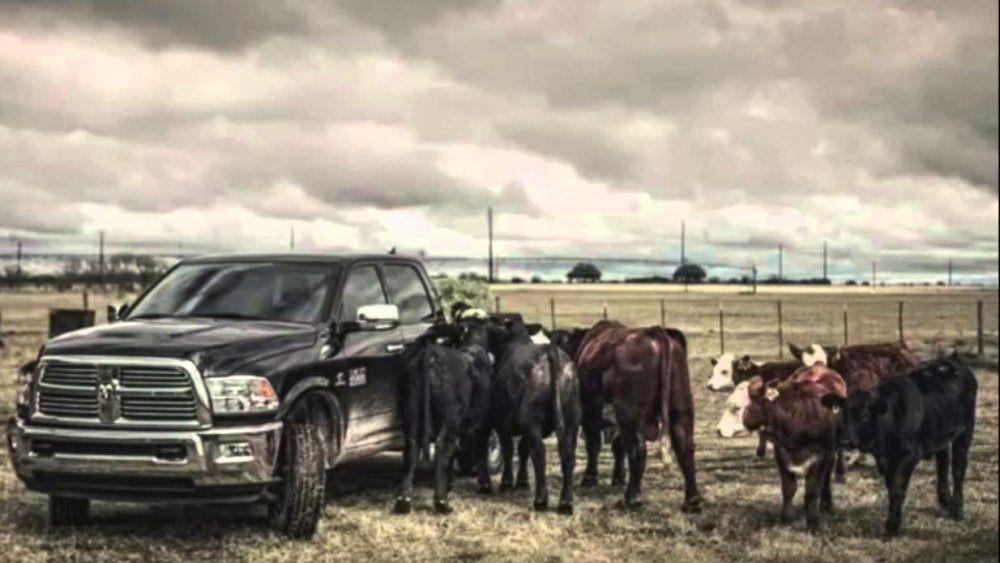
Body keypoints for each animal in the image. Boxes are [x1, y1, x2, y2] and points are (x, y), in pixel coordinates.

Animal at [396, 318, 494, 516]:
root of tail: (432, 353)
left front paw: (449, 483)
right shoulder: (483, 422)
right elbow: (481, 451)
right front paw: (485, 483)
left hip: (412, 407)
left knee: (412, 446)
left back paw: (404, 500)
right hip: (449, 416)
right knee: (442, 447)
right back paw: (442, 502)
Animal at [474, 318, 584, 516]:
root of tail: (551, 352)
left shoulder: (503, 422)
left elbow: (509, 449)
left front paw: (508, 482)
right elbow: (523, 449)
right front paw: (522, 481)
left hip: (533, 419)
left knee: (539, 453)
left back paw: (541, 500)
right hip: (572, 419)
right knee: (568, 455)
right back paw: (566, 502)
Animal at [572, 322, 704, 512]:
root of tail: (653, 333)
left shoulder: (590, 410)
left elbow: (594, 444)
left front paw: (590, 478)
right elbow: (617, 446)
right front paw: (618, 478)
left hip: (630, 415)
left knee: (637, 450)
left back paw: (632, 498)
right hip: (681, 408)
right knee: (685, 446)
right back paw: (692, 501)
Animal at [744, 366, 844, 532]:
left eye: (760, 400)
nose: (745, 417)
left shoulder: (823, 456)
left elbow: (812, 490)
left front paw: (814, 522)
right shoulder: (781, 454)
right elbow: (788, 488)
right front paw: (786, 518)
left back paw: (827, 503)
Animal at [824, 356, 980, 536]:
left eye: (866, 415)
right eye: (843, 414)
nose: (844, 441)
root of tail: (952, 363)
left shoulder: (908, 455)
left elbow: (897, 487)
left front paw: (892, 525)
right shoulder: (886, 460)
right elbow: (891, 487)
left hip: (966, 431)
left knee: (958, 469)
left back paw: (958, 509)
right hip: (940, 434)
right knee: (943, 462)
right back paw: (946, 502)